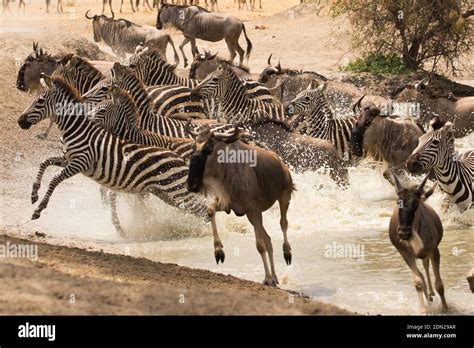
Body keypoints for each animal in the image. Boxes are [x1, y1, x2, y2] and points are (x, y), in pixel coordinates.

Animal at [17, 75, 215, 231]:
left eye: (39, 101)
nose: (20, 121)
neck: (78, 130)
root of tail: (179, 158)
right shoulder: (67, 159)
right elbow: (45, 162)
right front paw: (34, 193)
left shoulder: (80, 162)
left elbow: (54, 180)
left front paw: (39, 208)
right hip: (166, 193)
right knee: (199, 211)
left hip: (176, 190)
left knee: (202, 211)